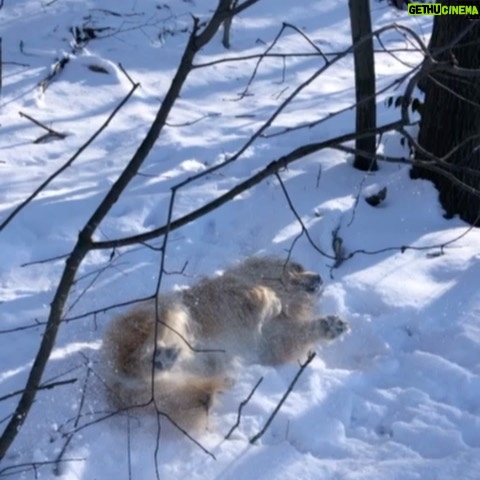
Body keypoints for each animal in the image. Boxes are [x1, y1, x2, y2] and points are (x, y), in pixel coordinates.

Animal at [102, 258, 348, 432]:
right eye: (297, 267)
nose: (320, 277)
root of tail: (114, 383)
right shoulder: (232, 297)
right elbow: (262, 295)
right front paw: (273, 301)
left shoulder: (272, 342)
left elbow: (295, 334)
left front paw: (330, 325)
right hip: (167, 311)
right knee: (134, 359)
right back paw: (160, 357)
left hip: (161, 389)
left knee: (172, 394)